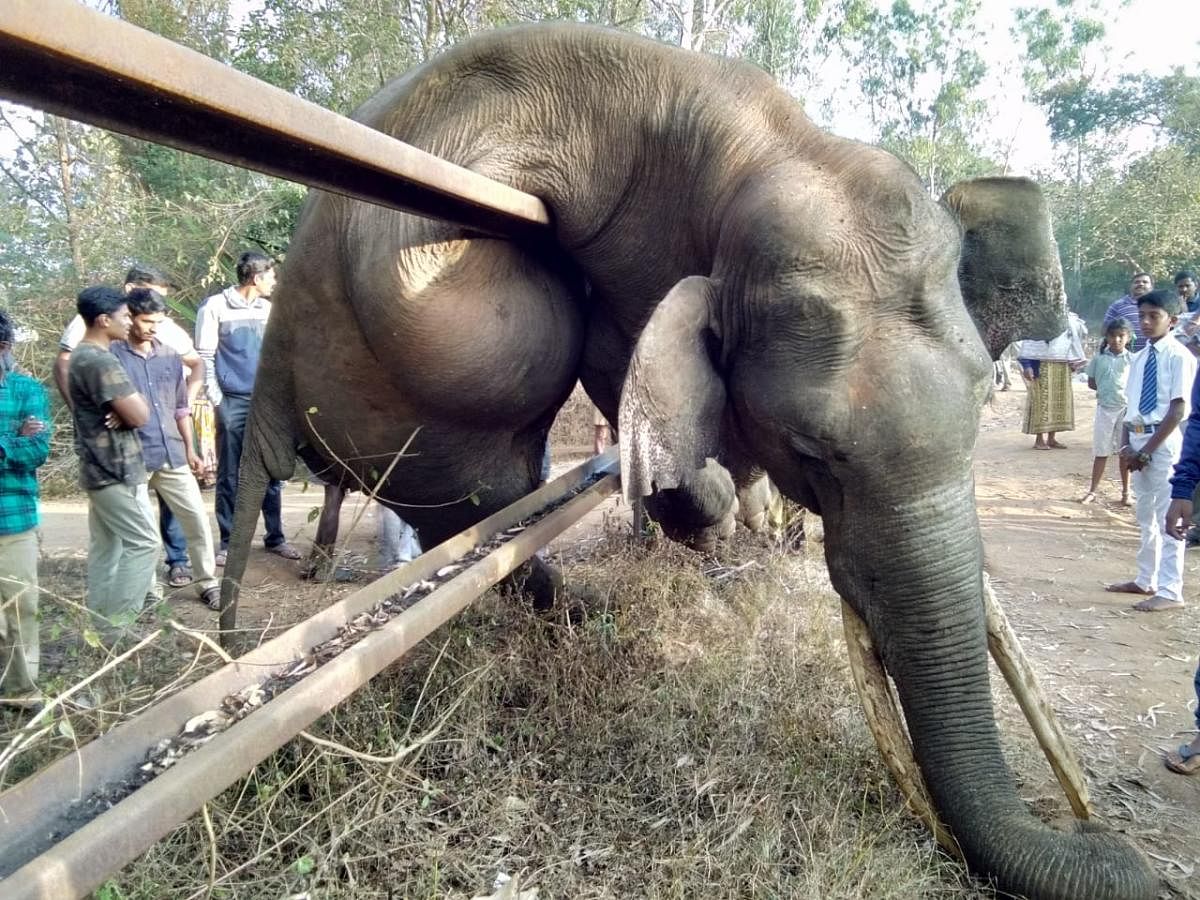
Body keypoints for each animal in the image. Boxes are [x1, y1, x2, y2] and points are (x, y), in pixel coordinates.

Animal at [223, 22, 1152, 900]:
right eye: (813, 450)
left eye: (978, 403)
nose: (1105, 843)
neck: (778, 142)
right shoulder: (637, 259)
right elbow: (621, 375)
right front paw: (711, 516)